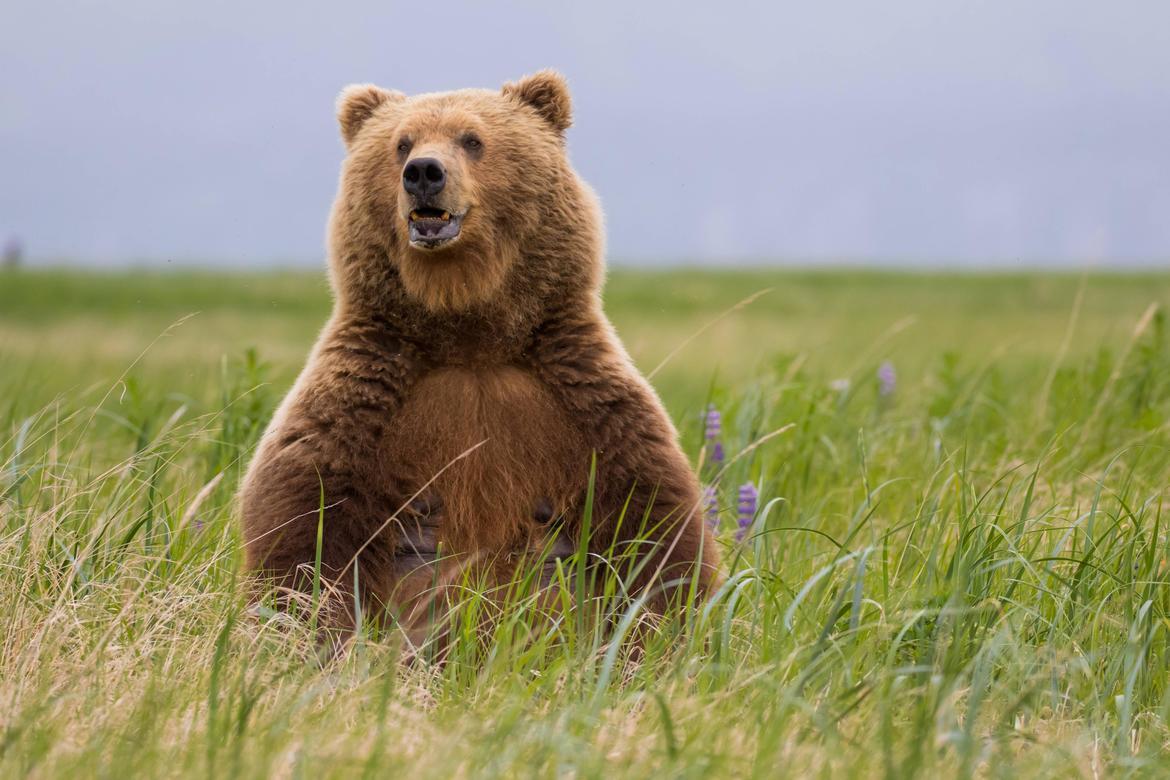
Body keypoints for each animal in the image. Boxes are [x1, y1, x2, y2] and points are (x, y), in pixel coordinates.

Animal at [240, 70, 720, 636]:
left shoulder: (588, 403)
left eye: (472, 139)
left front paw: (657, 630)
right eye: (401, 142)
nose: (423, 172)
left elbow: (654, 537)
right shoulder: (361, 401)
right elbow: (305, 535)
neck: (469, 330)